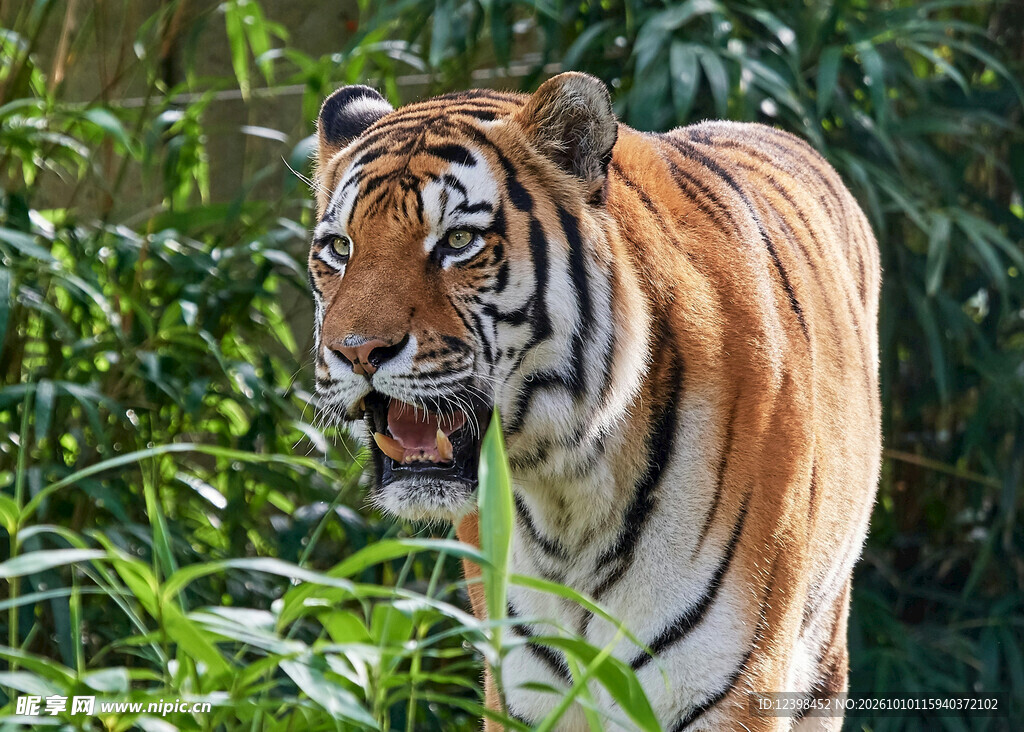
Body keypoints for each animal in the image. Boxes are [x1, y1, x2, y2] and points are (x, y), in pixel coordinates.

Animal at [308, 72, 881, 731]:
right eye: (340, 248)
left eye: (458, 240)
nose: (356, 352)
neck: (568, 493)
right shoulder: (521, 690)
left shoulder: (732, 686)